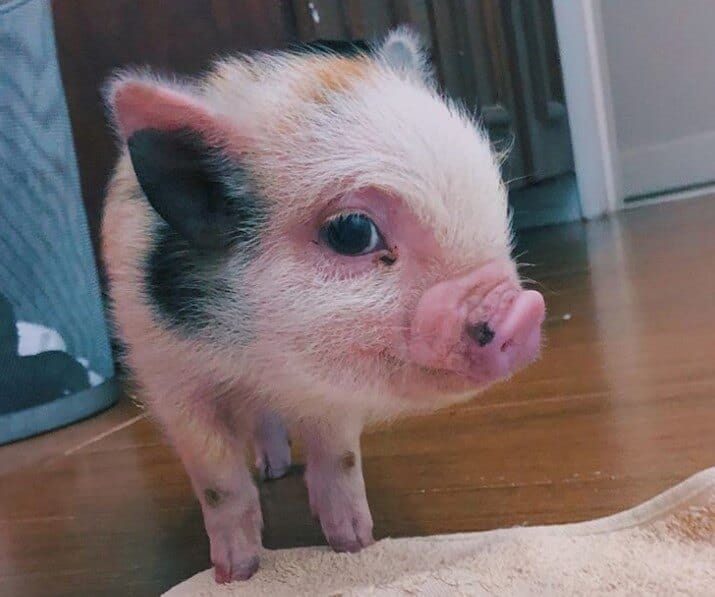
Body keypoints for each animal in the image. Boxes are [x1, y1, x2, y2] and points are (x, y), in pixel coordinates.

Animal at [101, 27, 545, 583]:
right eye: (351, 231)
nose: (524, 309)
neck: (260, 361)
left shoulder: (333, 394)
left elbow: (338, 458)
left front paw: (355, 546)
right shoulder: (167, 373)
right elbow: (219, 480)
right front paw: (236, 574)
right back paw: (269, 474)